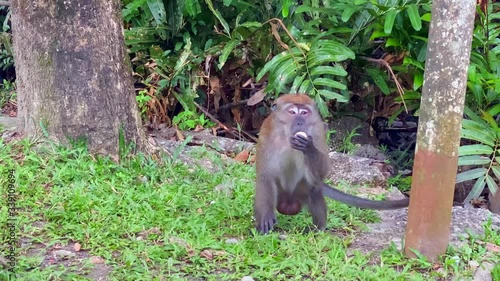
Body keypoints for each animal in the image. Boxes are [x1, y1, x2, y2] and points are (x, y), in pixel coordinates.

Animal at [254, 93, 410, 233]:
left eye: (304, 113)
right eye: (292, 112)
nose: (299, 122)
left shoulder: (318, 131)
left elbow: (320, 174)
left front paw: (308, 148)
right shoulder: (267, 135)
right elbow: (265, 177)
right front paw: (265, 220)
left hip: (301, 189)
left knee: (314, 188)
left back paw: (317, 229)